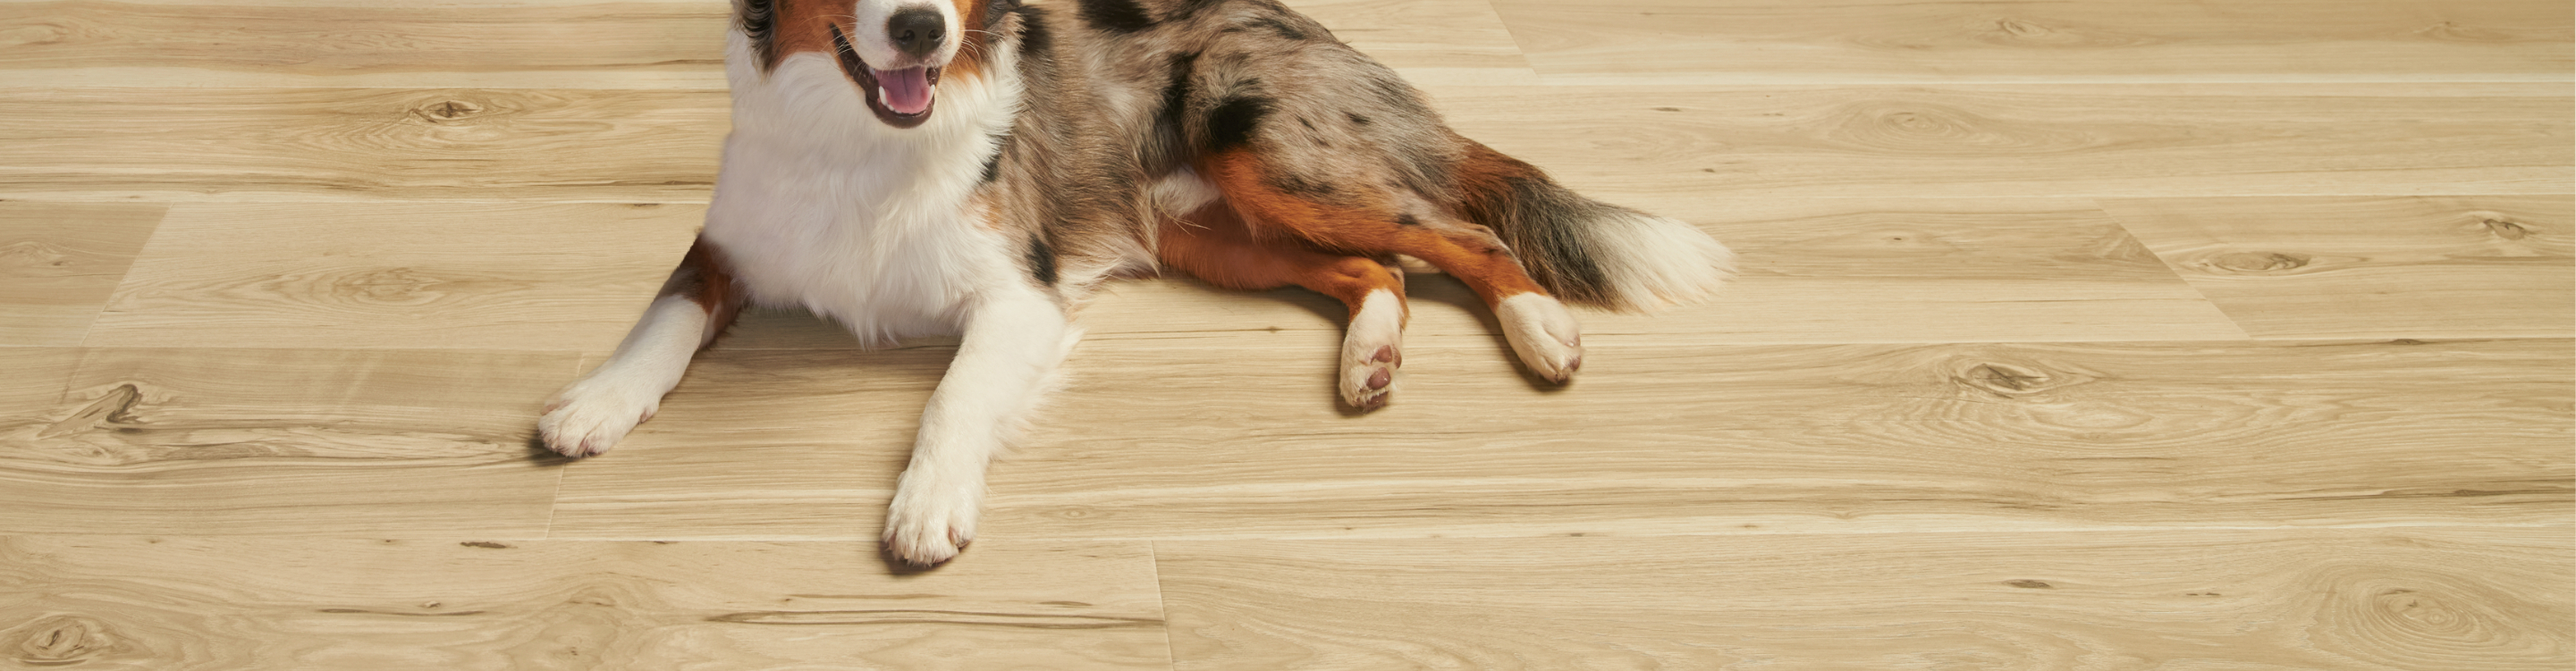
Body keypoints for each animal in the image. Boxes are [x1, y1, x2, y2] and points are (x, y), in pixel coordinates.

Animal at [533, 0, 1741, 563]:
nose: (921, 27)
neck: (859, 136)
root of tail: (1315, 31)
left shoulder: (1018, 292)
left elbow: (950, 399)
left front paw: (927, 504)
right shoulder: (732, 242)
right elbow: (662, 319)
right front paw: (594, 403)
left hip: (1262, 149)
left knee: (1457, 234)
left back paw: (1542, 330)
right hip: (1214, 231)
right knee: (1375, 269)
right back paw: (1370, 355)